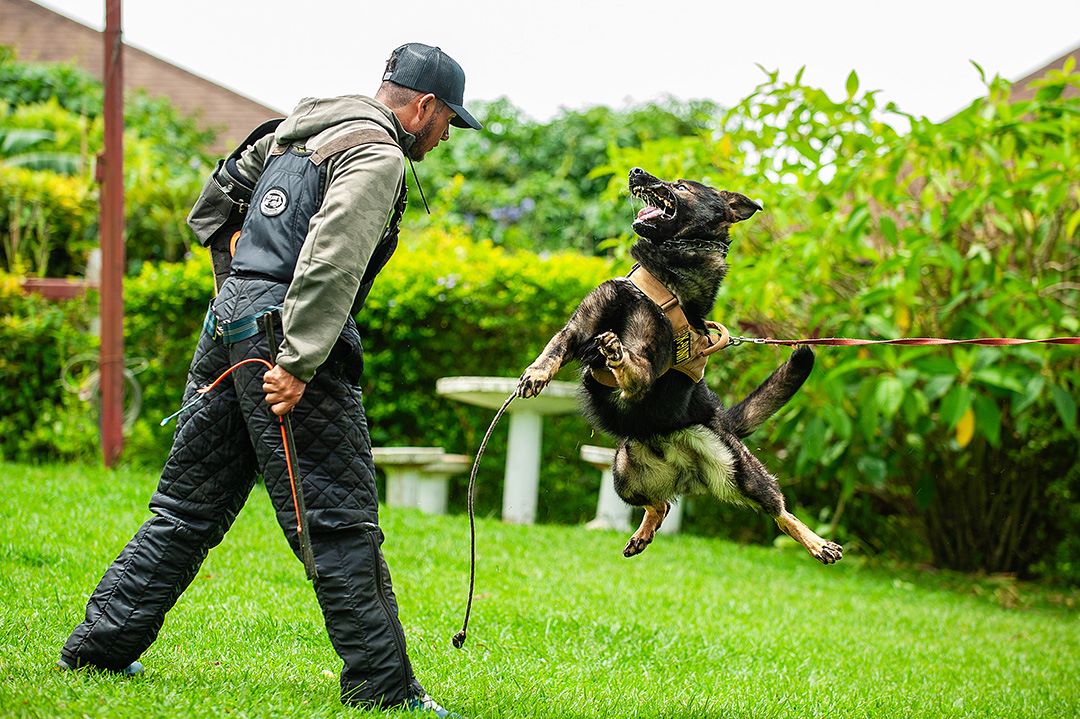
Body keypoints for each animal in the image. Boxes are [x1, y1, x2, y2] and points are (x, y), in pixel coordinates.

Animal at [514, 169, 842, 565]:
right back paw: (643, 534)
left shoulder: (646, 369)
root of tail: (683, 468)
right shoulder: (580, 326)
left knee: (779, 511)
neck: (665, 273)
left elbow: (634, 369)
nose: (635, 172)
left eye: (682, 187)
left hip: (739, 470)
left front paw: (616, 353)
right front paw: (536, 374)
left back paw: (818, 543)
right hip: (623, 474)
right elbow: (554, 349)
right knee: (661, 506)